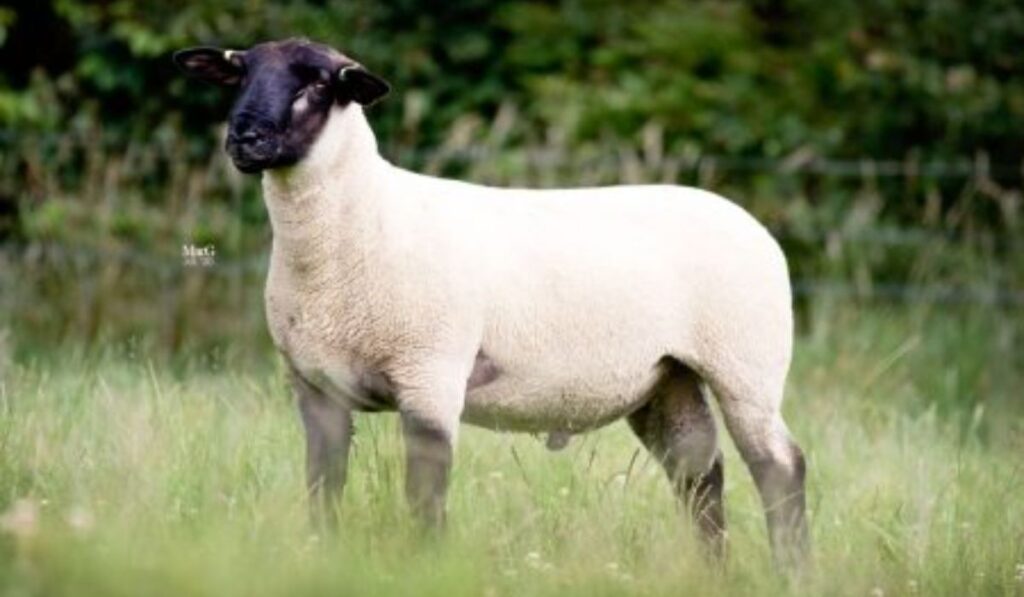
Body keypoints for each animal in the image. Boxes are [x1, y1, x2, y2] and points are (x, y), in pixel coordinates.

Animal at [174, 38, 809, 565]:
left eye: (318, 85)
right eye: (239, 75)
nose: (244, 139)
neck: (364, 221)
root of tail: (749, 221)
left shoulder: (429, 373)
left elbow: (424, 498)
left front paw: (425, 571)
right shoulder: (315, 387)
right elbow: (322, 490)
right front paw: (321, 559)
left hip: (745, 363)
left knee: (780, 468)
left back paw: (790, 571)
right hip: (667, 378)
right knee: (700, 475)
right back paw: (713, 573)